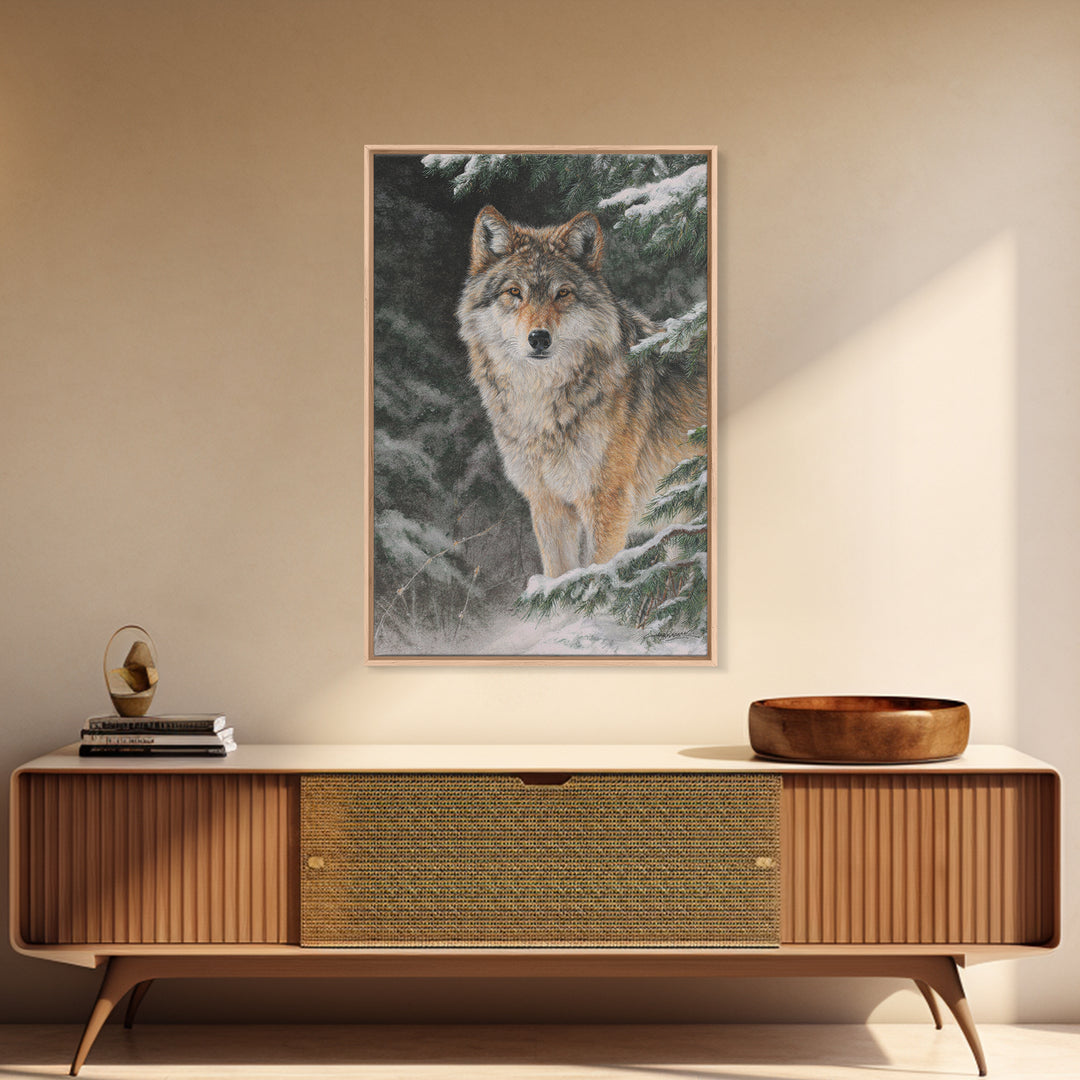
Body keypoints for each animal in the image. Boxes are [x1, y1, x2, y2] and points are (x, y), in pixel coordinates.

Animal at [457, 205, 707, 579]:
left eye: (562, 293)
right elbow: (560, 578)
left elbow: (596, 576)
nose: (539, 338)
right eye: (514, 292)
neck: (542, 408)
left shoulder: (606, 501)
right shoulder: (547, 502)